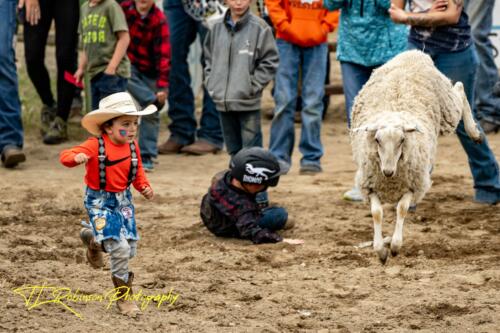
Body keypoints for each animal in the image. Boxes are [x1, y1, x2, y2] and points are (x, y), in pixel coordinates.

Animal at [350, 49, 482, 264]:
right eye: (377, 140)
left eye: (402, 140)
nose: (388, 171)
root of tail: (414, 53)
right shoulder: (369, 186)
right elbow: (377, 213)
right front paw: (380, 250)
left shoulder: (414, 186)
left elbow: (401, 209)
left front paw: (395, 246)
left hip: (447, 107)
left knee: (460, 89)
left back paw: (474, 132)